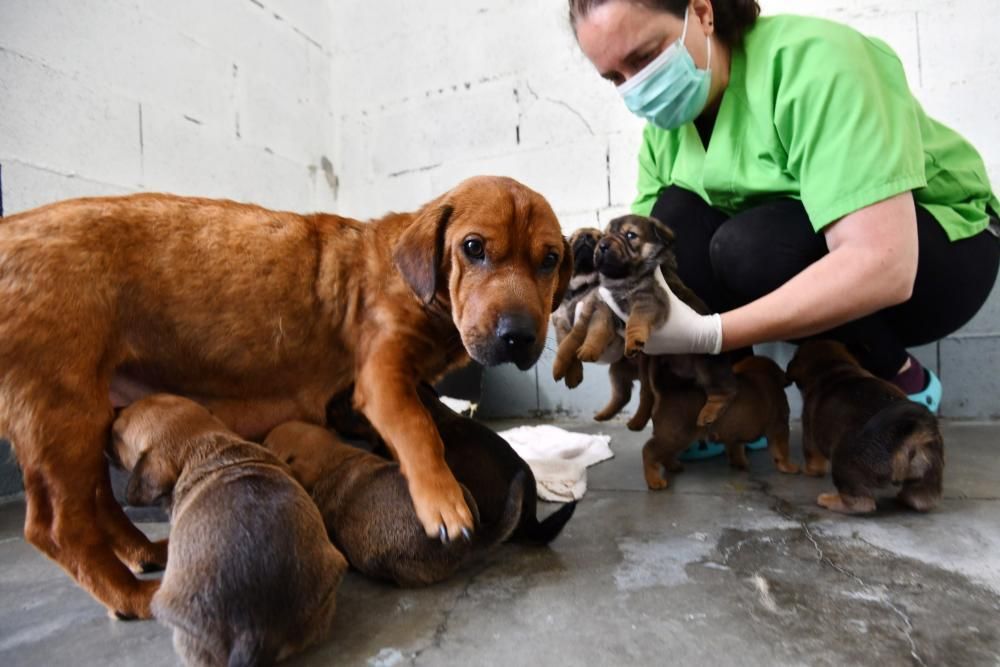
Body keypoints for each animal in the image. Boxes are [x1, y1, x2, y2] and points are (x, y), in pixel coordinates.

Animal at [784, 342, 940, 516]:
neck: (834, 366)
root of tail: (909, 434)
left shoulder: (809, 432)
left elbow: (813, 461)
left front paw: (808, 471)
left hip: (844, 463)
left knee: (862, 503)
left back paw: (830, 501)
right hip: (929, 473)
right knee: (920, 499)